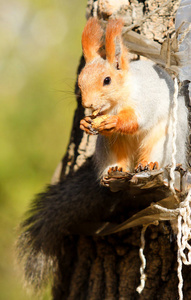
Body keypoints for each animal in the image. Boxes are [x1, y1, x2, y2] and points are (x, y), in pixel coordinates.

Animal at [78, 17, 188, 178]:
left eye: (107, 80)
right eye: (80, 81)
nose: (87, 104)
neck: (116, 104)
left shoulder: (144, 101)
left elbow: (136, 120)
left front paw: (115, 121)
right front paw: (85, 123)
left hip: (164, 140)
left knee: (153, 154)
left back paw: (148, 164)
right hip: (111, 145)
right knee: (119, 156)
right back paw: (116, 168)